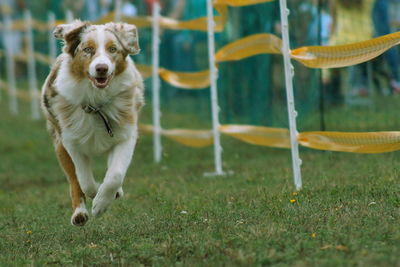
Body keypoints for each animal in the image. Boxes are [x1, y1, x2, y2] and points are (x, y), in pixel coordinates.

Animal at [41, 19, 145, 227]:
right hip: (59, 143)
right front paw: (97, 195)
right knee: (74, 180)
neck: (96, 103)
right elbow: (84, 180)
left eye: (113, 49)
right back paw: (79, 213)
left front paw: (102, 202)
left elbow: (115, 175)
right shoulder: (70, 140)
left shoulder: (125, 134)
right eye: (88, 49)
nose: (101, 68)